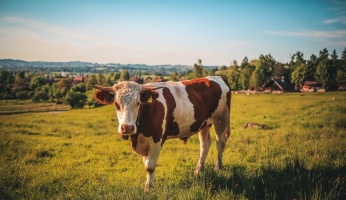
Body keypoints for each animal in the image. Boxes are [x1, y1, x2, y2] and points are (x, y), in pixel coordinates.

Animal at [93, 76, 231, 191]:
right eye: (116, 104)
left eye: (138, 103)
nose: (127, 127)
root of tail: (217, 77)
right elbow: (146, 163)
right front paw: (148, 184)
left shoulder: (156, 140)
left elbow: (149, 166)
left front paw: (148, 188)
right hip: (204, 124)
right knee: (205, 145)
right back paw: (198, 170)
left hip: (221, 120)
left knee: (220, 143)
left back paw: (218, 168)